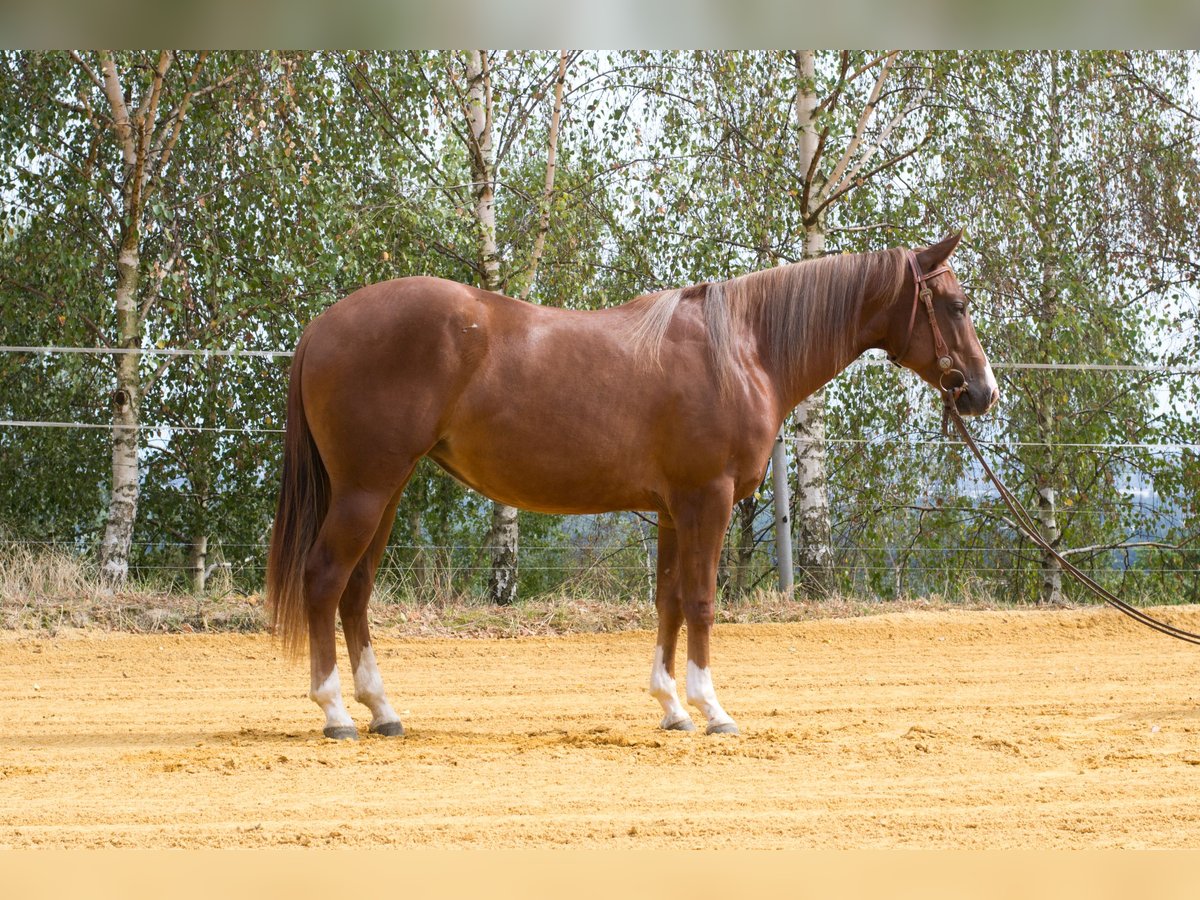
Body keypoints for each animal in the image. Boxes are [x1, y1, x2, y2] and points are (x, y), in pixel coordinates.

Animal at [267, 232, 998, 739]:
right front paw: (713, 710)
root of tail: (322, 325)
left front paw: (671, 707)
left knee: (357, 591)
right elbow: (702, 602)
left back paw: (383, 711)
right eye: (955, 305)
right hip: (366, 489)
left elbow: (668, 601)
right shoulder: (708, 500)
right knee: (326, 580)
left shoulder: (675, 509)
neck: (743, 351)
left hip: (383, 491)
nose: (982, 392)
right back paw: (335, 714)